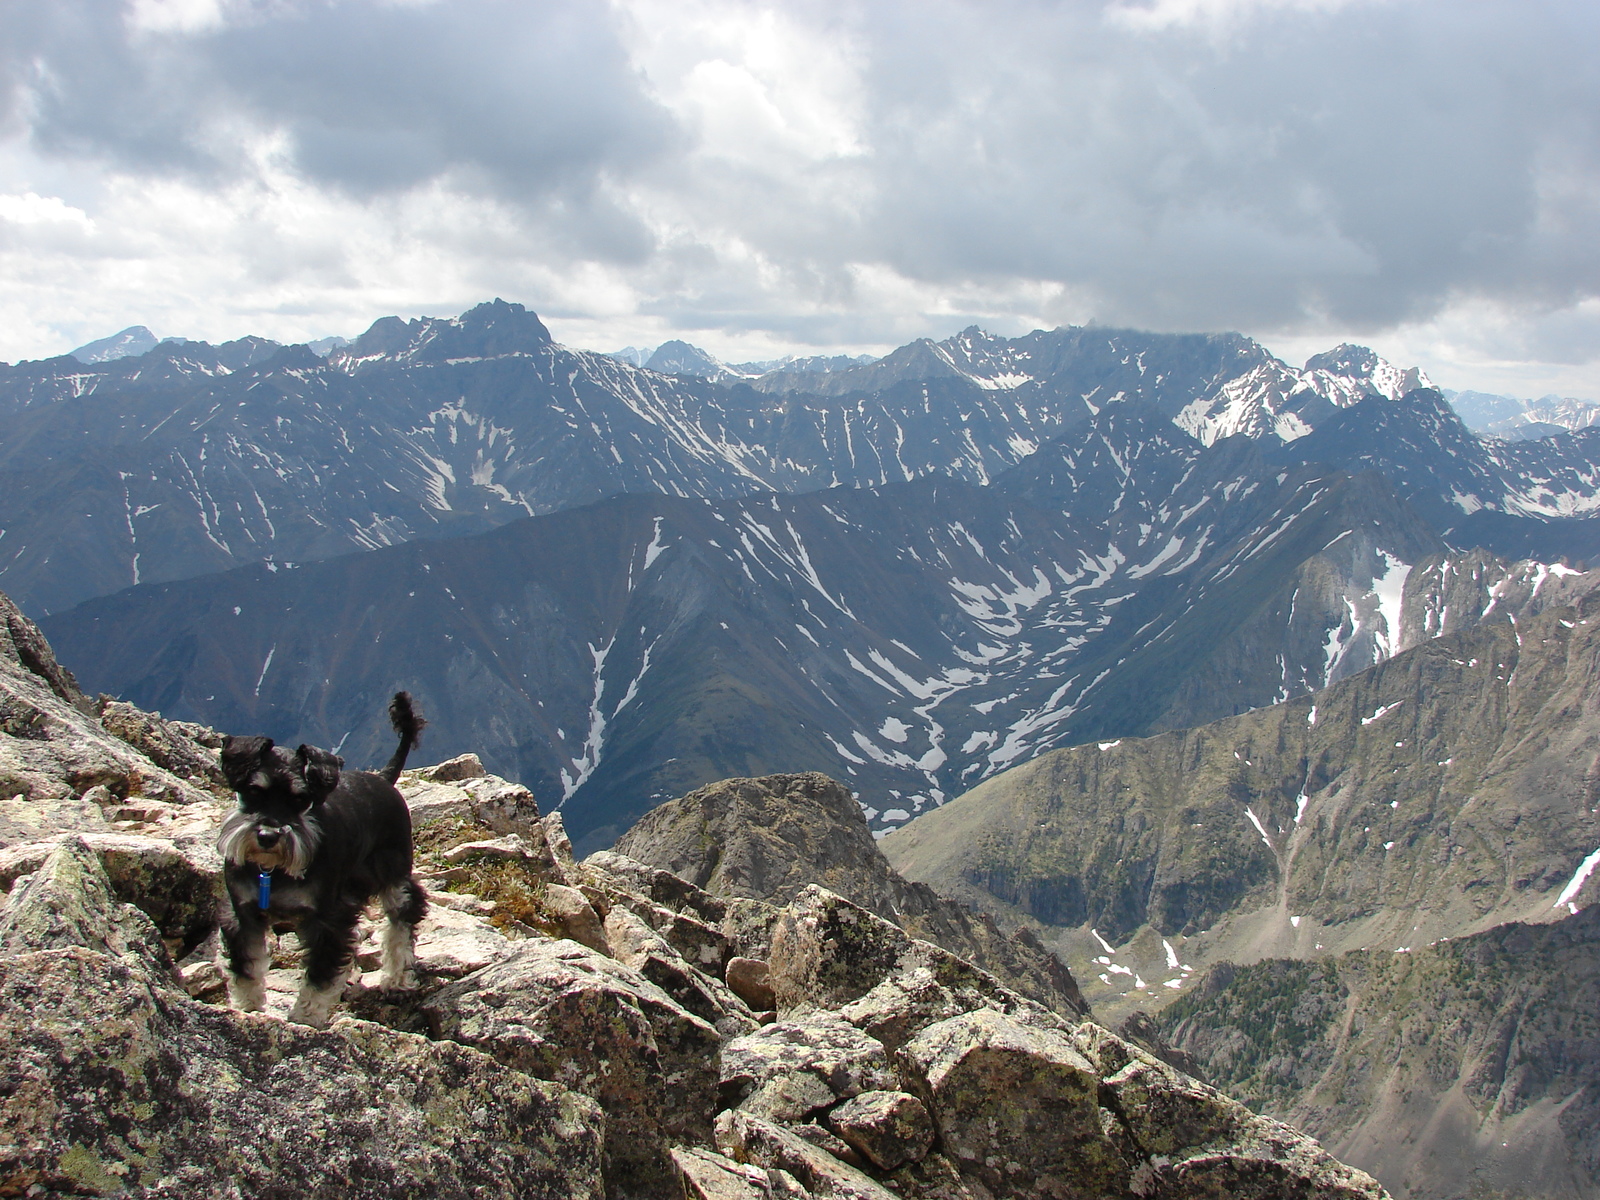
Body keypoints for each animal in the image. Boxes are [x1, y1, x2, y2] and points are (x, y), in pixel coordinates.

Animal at [222, 691, 432, 1030]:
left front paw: (306, 1015)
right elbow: (246, 965)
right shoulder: (243, 914)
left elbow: (320, 972)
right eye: (253, 790)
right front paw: (247, 1006)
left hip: (394, 877)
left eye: (299, 798)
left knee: (401, 924)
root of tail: (383, 779)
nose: (268, 836)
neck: (272, 871)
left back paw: (398, 979)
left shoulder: (327, 920)